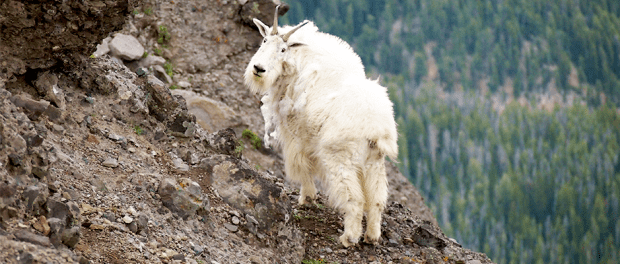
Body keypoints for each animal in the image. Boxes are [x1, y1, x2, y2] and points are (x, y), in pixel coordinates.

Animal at [242, 7, 398, 248]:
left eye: (283, 49)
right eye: (264, 40)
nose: (258, 69)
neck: (297, 63)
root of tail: (377, 129)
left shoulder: (296, 135)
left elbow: (302, 166)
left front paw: (306, 198)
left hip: (340, 157)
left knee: (354, 199)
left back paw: (349, 238)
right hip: (374, 162)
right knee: (377, 199)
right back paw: (371, 237)